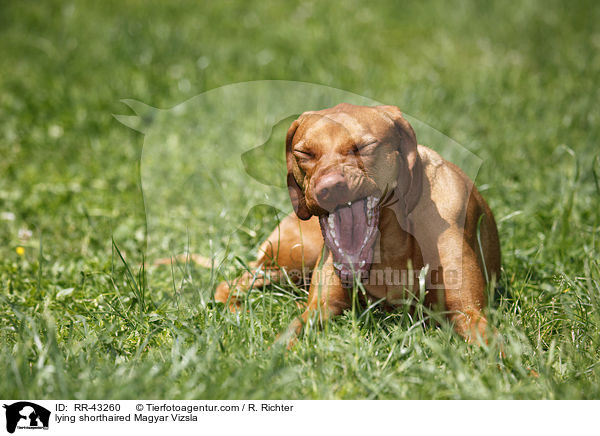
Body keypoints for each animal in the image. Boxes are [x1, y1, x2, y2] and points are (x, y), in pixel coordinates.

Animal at [213, 103, 500, 344]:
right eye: (304, 153)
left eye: (365, 146)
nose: (329, 189)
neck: (389, 243)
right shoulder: (320, 309)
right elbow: (286, 338)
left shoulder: (469, 313)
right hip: (291, 259)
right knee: (230, 284)